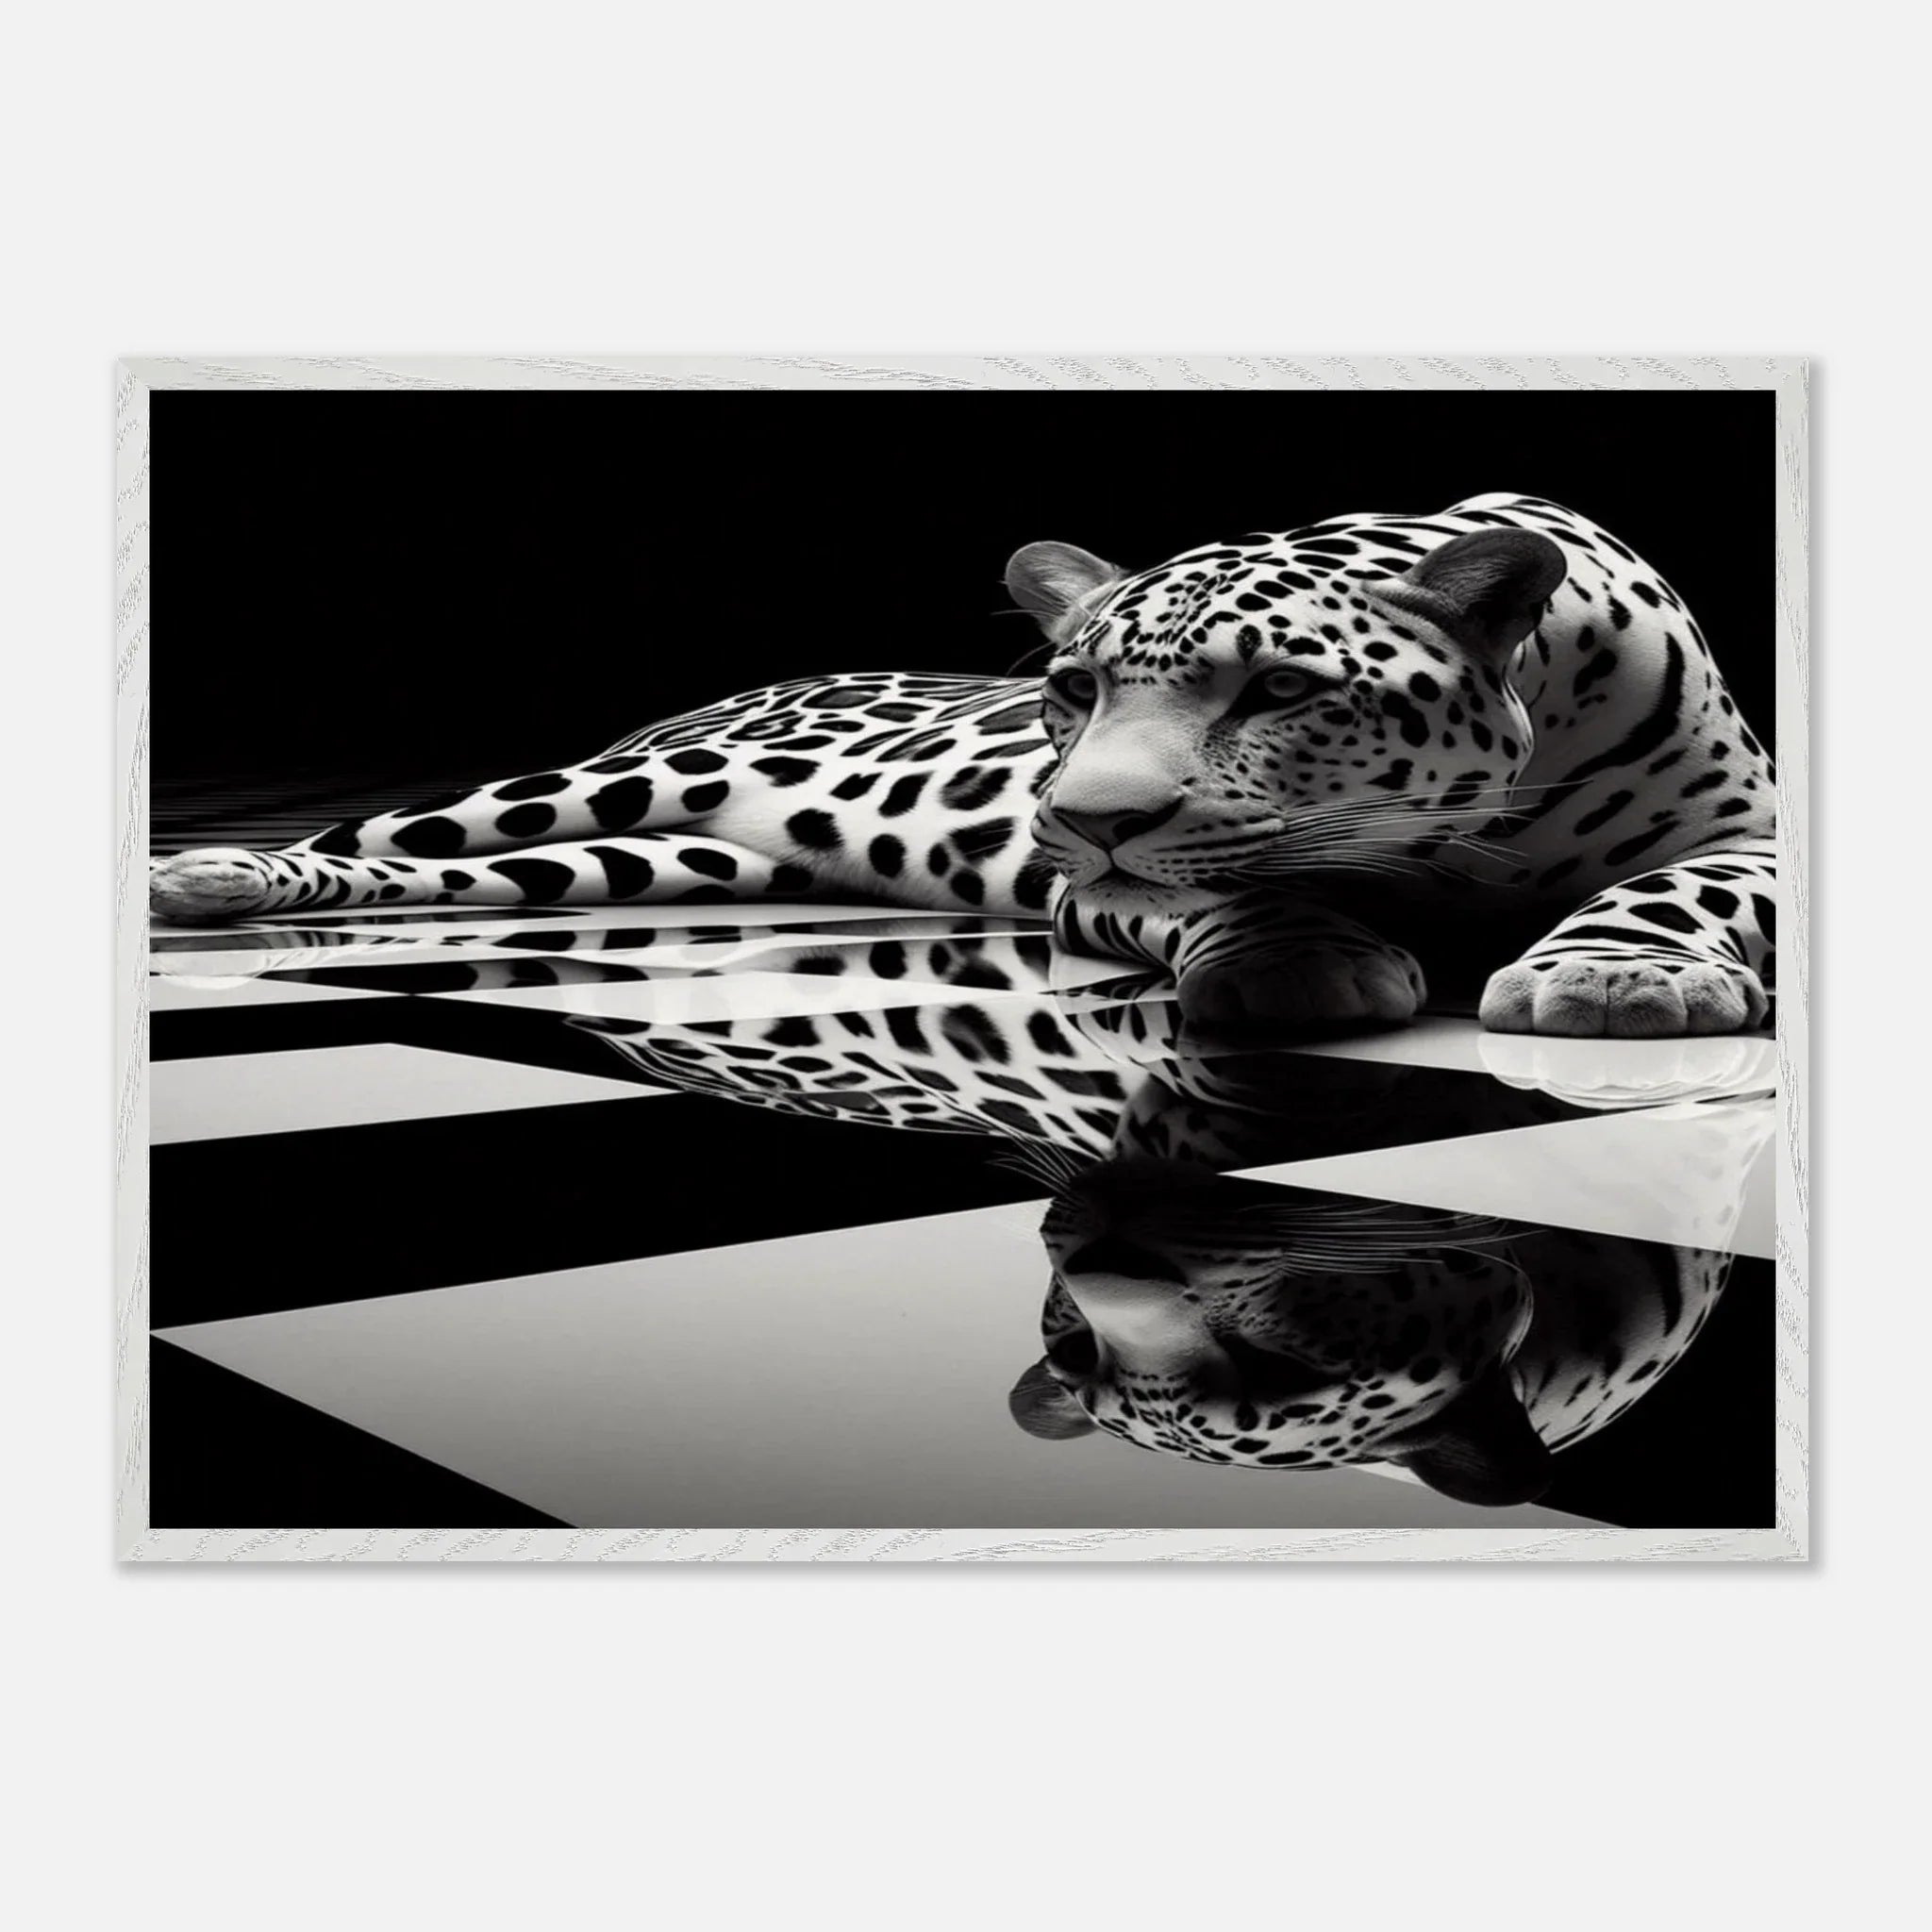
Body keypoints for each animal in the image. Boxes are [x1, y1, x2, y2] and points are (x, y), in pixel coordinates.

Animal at [149, 493, 1777, 1039]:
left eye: (1281, 688)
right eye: (1072, 689)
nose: (1083, 816)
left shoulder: (1756, 836)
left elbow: (1680, 891)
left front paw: (1620, 976)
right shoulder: (1097, 892)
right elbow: (1229, 890)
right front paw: (1296, 962)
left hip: (664, 859)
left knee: (490, 875)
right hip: (592, 790)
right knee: (387, 832)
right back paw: (214, 877)